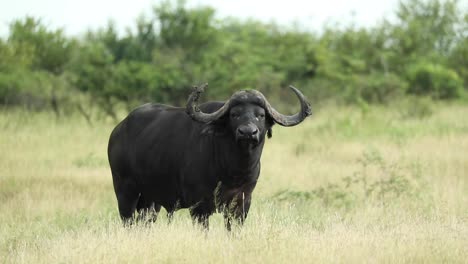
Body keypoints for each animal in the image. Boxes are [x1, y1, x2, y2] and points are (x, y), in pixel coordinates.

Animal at [108, 84, 312, 229]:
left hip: (150, 202)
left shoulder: (241, 204)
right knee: (128, 221)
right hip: (125, 193)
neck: (232, 169)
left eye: (260, 115)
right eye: (234, 114)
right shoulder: (199, 207)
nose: (248, 132)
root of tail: (117, 131)